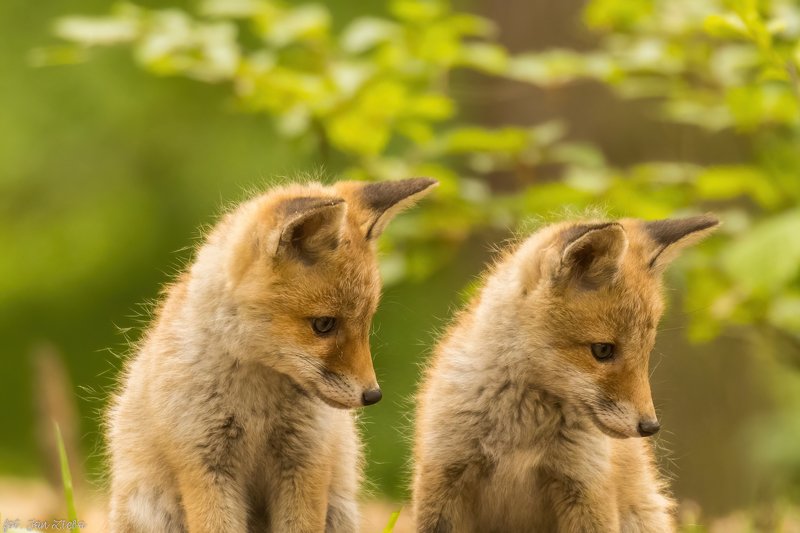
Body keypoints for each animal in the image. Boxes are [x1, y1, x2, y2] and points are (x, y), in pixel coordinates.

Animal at [106, 177, 437, 533]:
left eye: (366, 322)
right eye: (324, 324)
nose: (373, 395)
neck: (256, 403)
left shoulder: (305, 459)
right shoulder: (204, 462)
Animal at [412, 215, 719, 532]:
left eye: (646, 351)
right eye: (603, 350)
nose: (650, 427)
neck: (520, 434)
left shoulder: (585, 485)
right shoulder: (444, 472)